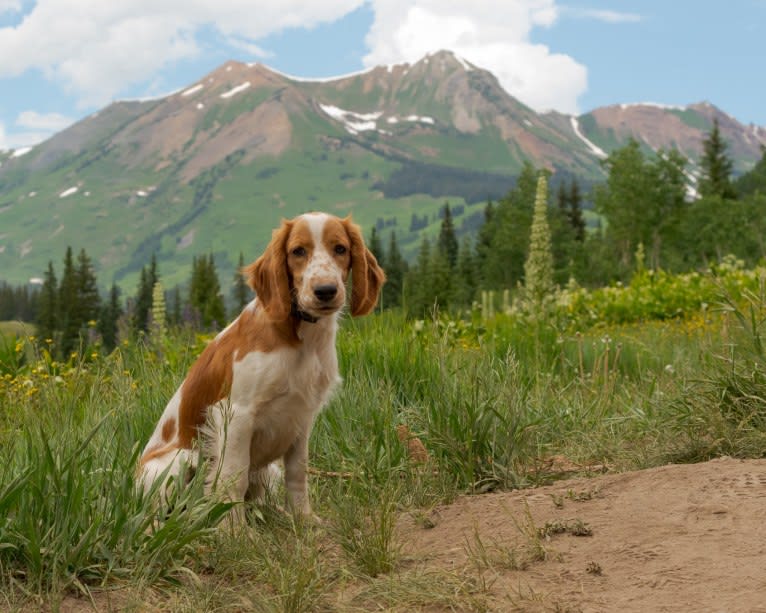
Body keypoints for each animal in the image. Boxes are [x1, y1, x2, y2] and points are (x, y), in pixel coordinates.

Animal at [137, 213, 388, 520]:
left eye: (340, 248)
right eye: (298, 251)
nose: (325, 291)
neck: (301, 336)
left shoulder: (302, 417)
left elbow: (298, 473)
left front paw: (303, 520)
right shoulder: (236, 413)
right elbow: (233, 477)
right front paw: (234, 530)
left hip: (268, 471)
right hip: (178, 461)